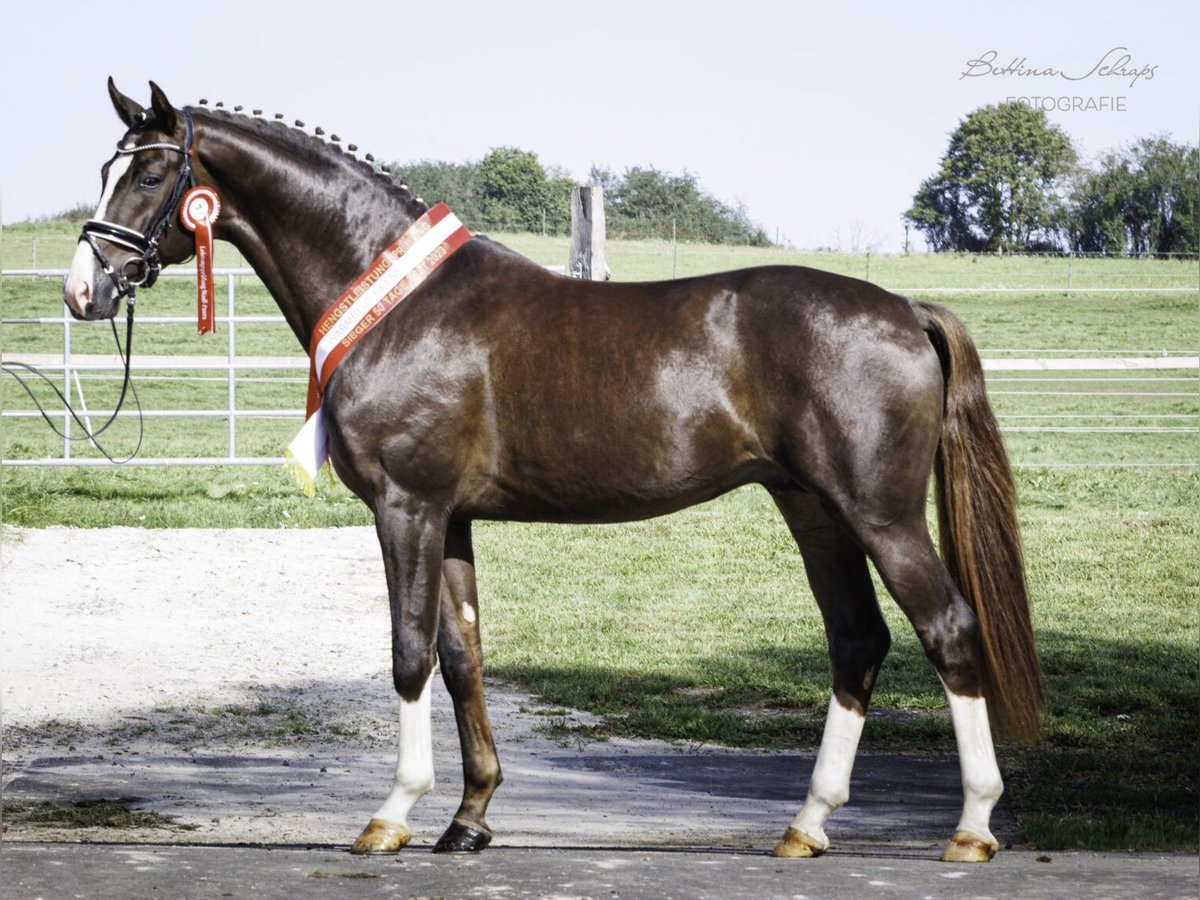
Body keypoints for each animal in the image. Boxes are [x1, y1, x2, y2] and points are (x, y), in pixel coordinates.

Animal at [65, 81, 1041, 864]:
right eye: (111, 167)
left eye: (148, 175)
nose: (84, 290)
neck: (400, 300)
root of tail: (904, 309)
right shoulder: (452, 519)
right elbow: (462, 655)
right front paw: (469, 820)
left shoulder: (406, 508)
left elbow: (408, 652)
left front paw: (392, 815)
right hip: (814, 511)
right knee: (858, 641)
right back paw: (807, 825)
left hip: (879, 514)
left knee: (949, 630)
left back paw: (972, 827)